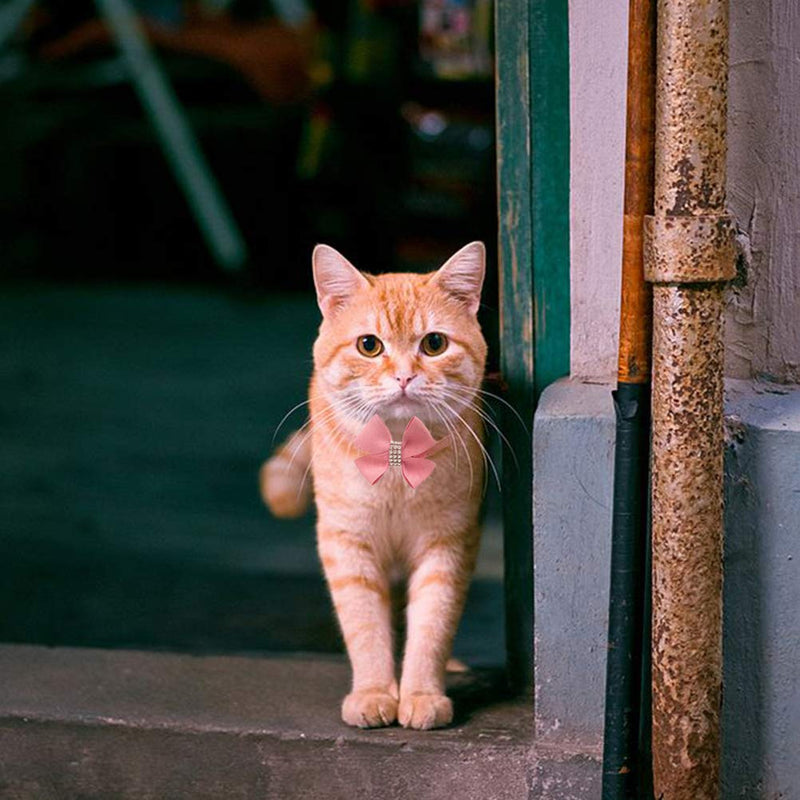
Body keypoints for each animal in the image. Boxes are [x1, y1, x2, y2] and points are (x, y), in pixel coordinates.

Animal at [262, 244, 488, 732]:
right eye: (370, 346)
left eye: (434, 344)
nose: (403, 377)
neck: (398, 454)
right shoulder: (347, 544)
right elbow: (365, 626)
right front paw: (373, 693)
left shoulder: (447, 546)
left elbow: (431, 626)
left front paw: (420, 695)